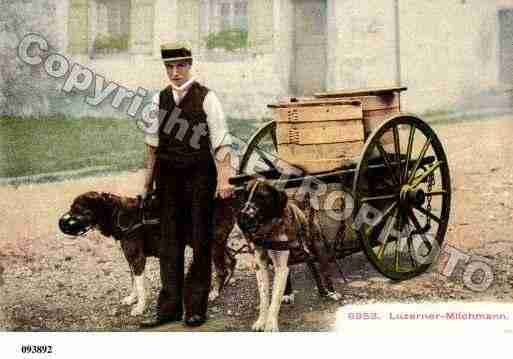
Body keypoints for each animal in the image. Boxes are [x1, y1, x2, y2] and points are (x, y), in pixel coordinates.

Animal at [59, 191, 235, 318]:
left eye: (77, 209)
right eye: (71, 207)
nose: (61, 222)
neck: (117, 213)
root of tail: (226, 201)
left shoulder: (137, 258)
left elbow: (139, 286)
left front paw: (140, 307)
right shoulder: (130, 259)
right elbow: (133, 282)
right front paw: (132, 299)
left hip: (211, 245)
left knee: (221, 269)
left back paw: (214, 292)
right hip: (212, 243)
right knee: (231, 259)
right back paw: (227, 282)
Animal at [238, 179, 342, 332]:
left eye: (261, 197)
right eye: (245, 196)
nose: (243, 216)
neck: (268, 230)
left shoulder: (281, 263)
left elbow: (275, 298)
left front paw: (271, 325)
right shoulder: (261, 265)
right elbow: (264, 297)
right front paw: (261, 321)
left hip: (316, 247)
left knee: (323, 269)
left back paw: (330, 291)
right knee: (308, 268)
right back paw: (292, 293)